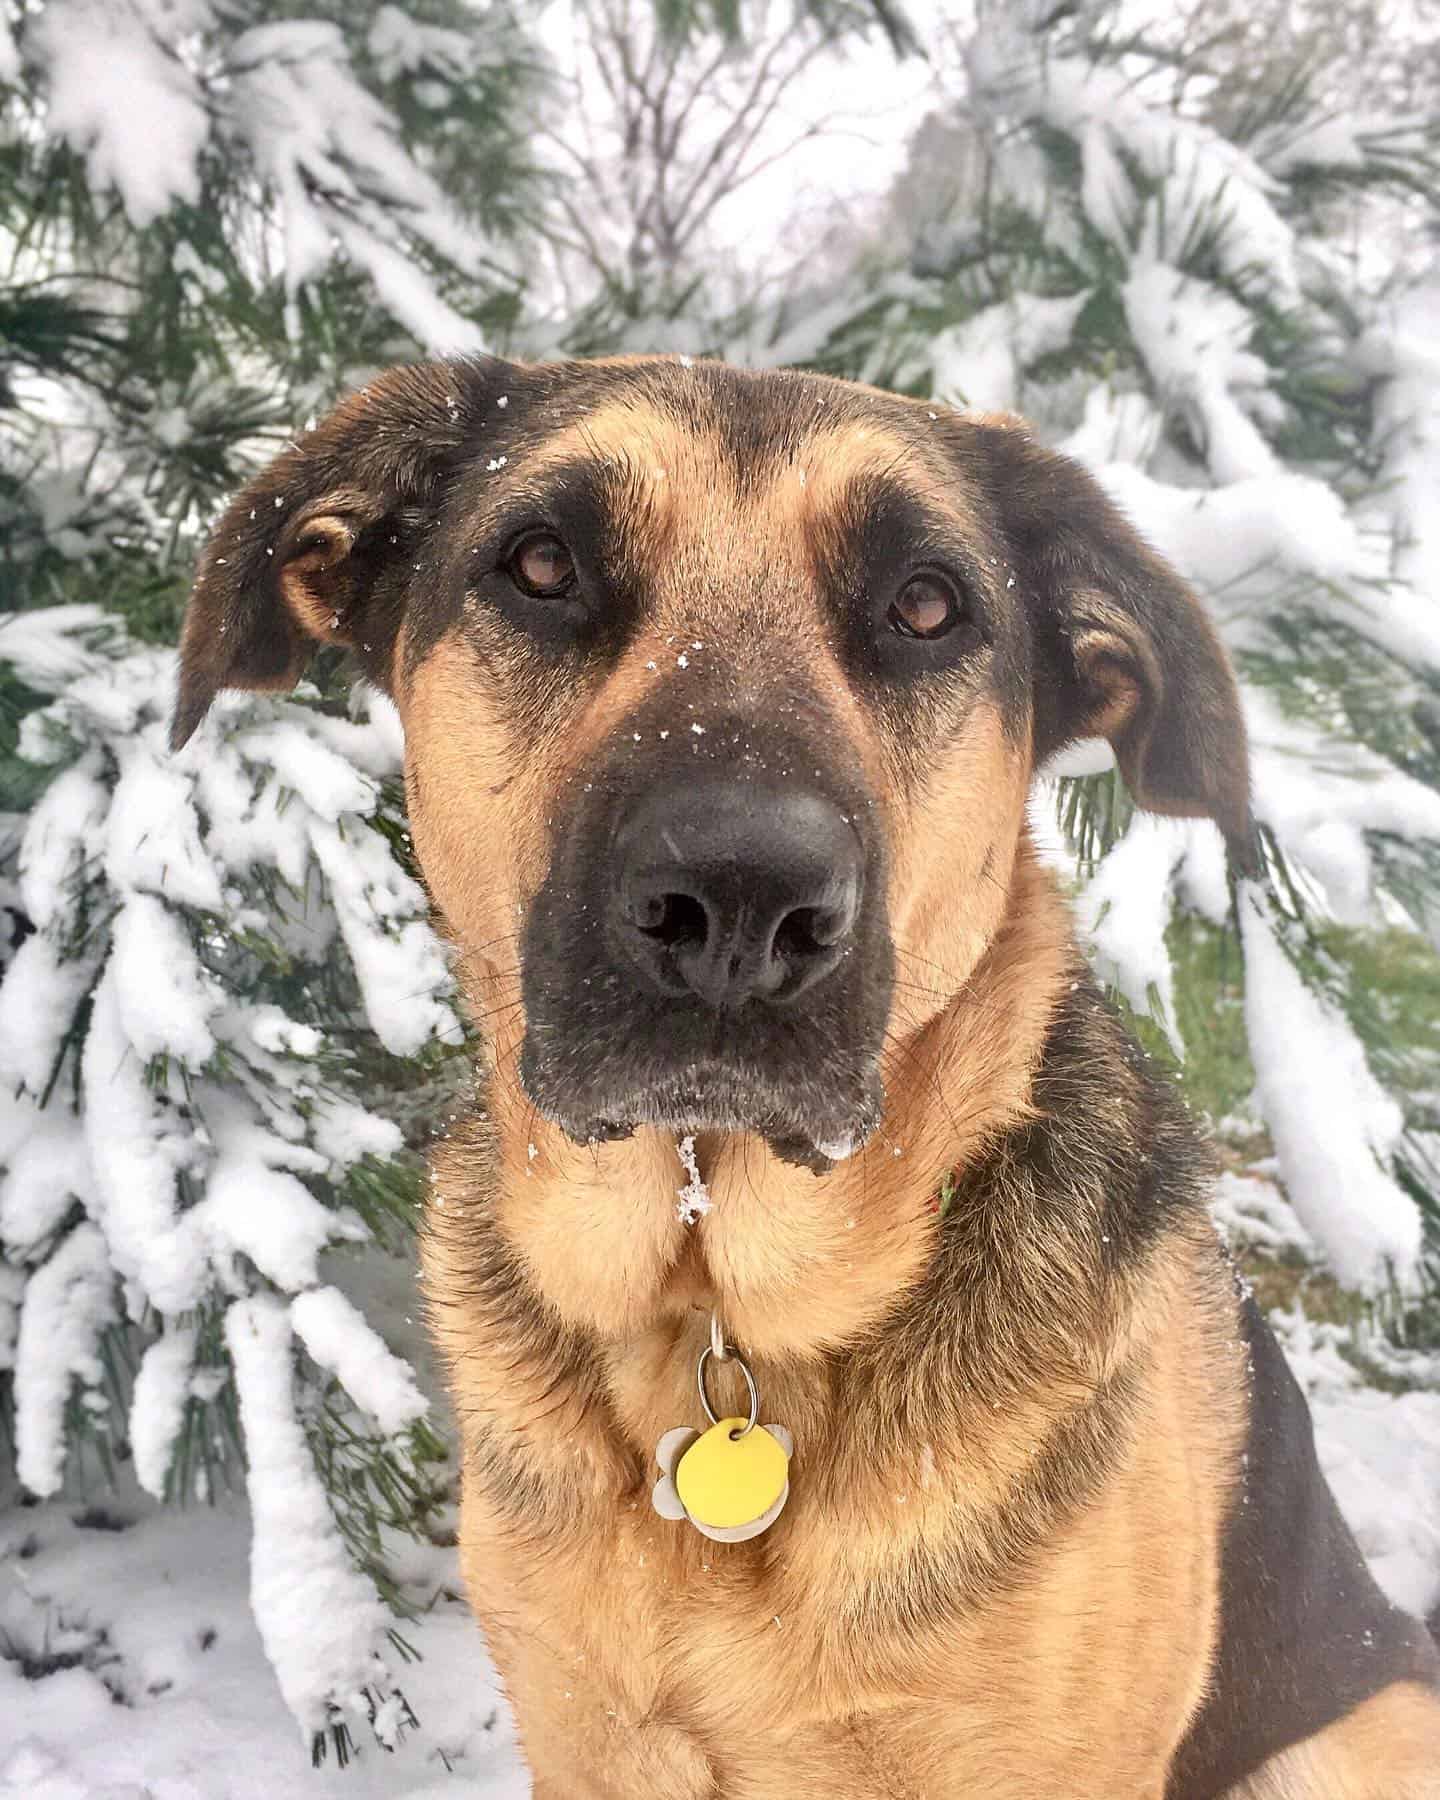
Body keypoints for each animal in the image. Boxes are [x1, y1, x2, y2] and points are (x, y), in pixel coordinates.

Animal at [174, 358, 1432, 1792]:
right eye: (542, 563)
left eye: (927, 605)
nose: (739, 901)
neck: (716, 1312)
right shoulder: (581, 1738)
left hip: (1339, 1742)